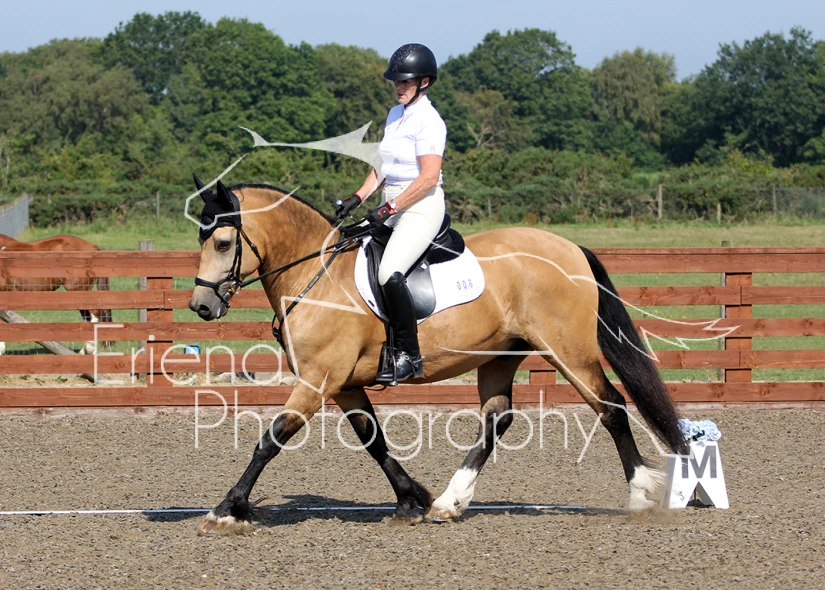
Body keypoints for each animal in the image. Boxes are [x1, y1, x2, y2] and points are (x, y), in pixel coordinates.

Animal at [189, 180, 688, 534]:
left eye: (222, 243)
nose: (202, 306)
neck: (317, 275)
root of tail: (571, 248)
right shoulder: (345, 384)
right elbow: (374, 441)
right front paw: (412, 500)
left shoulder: (318, 379)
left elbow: (271, 438)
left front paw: (228, 509)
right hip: (501, 355)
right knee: (497, 418)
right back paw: (449, 502)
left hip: (569, 351)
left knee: (611, 408)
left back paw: (642, 493)